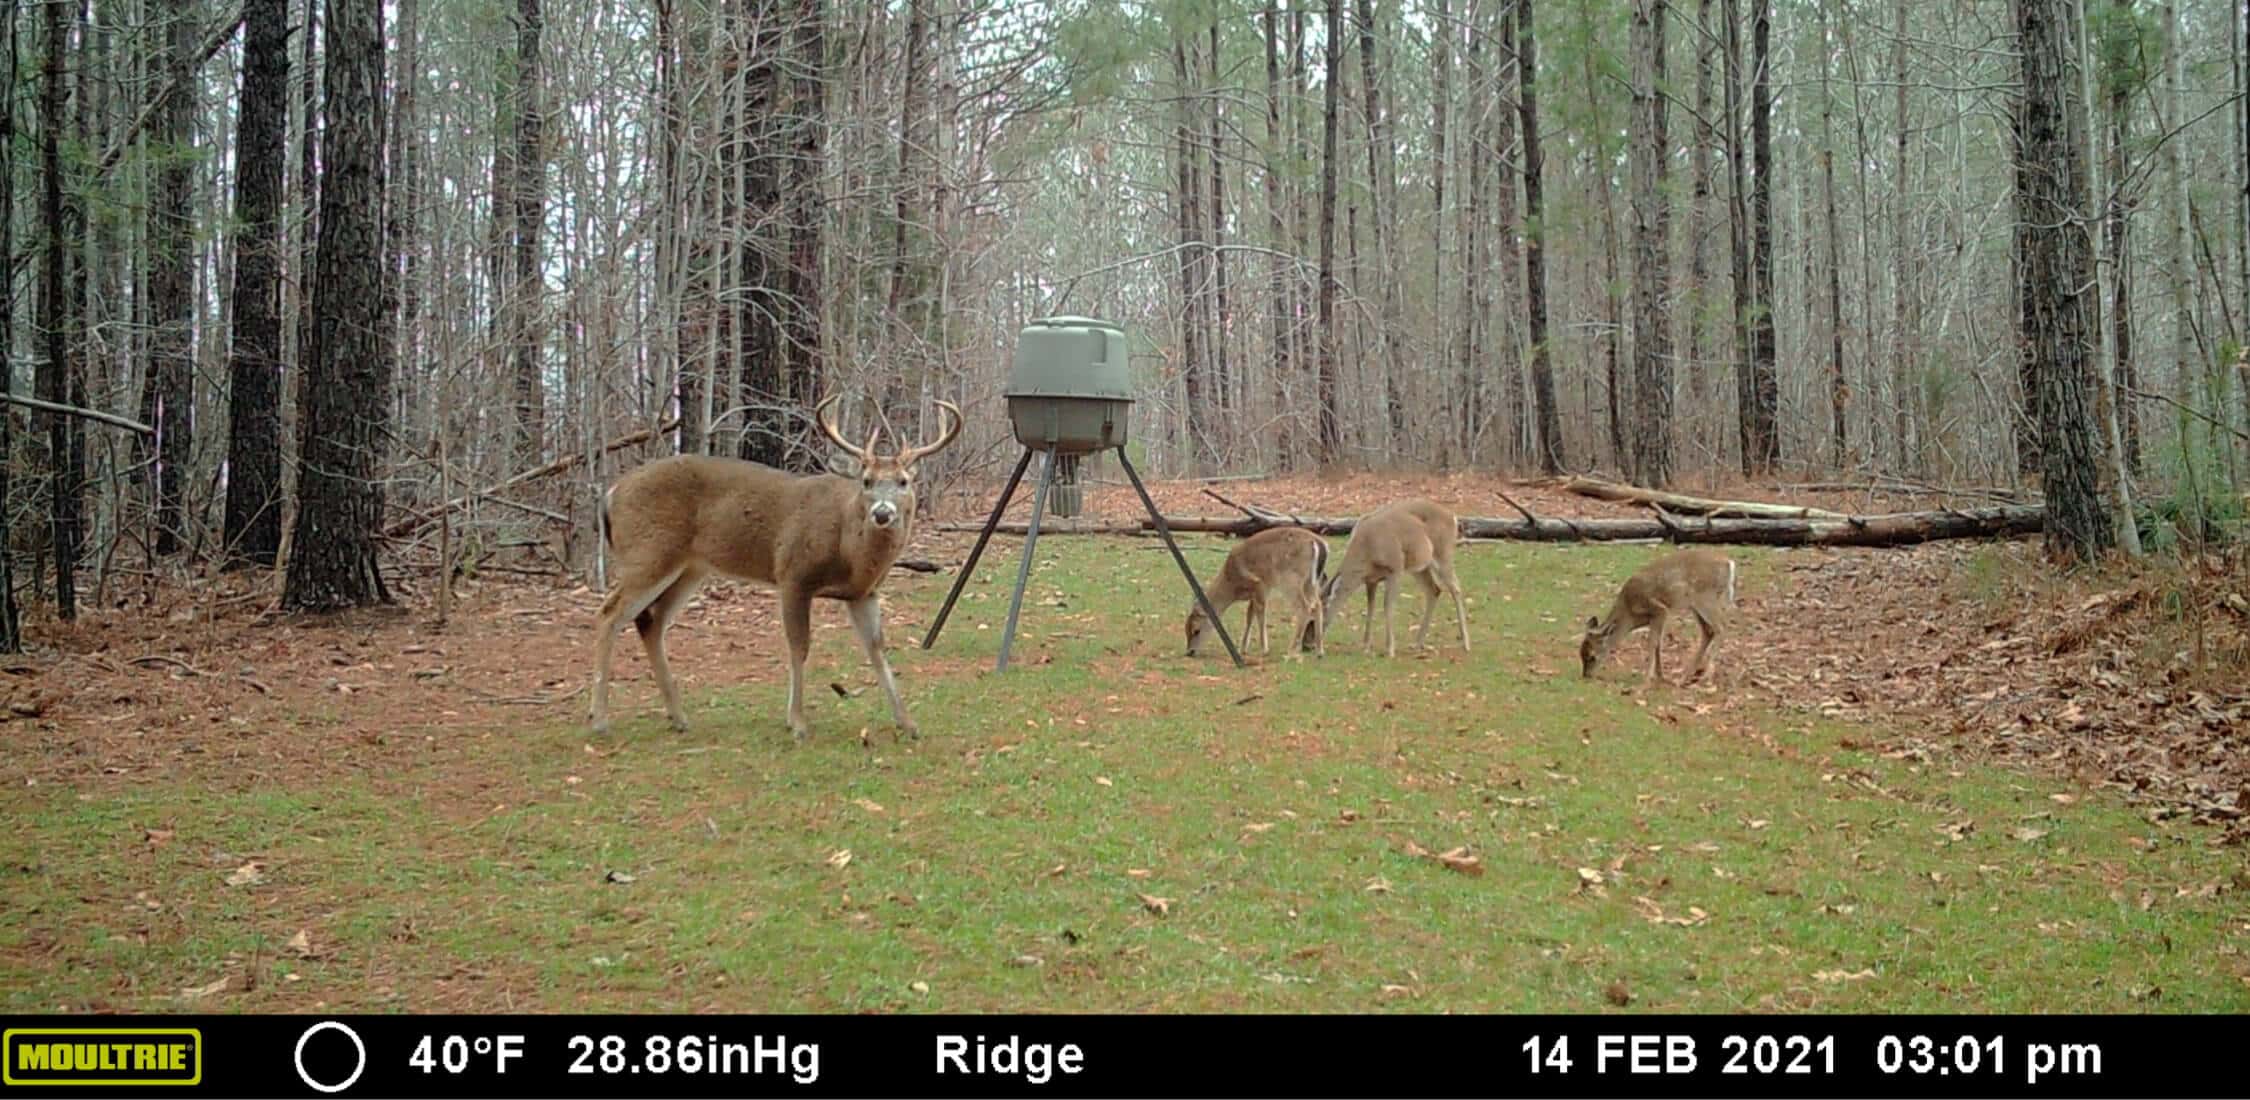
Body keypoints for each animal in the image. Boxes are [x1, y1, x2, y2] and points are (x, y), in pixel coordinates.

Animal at [585, 393, 963, 737]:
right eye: (867, 480)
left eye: (903, 481)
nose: (882, 513)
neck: (849, 549)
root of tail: (611, 493)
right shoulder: (793, 574)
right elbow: (800, 646)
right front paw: (797, 722)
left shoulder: (863, 593)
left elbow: (877, 649)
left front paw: (908, 723)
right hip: (648, 551)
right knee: (609, 613)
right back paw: (600, 720)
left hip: (689, 567)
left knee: (651, 621)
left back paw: (678, 717)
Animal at [1188, 526, 1323, 656]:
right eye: (1186, 628)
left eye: (1196, 630)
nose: (1189, 651)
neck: (1232, 585)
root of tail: (1317, 543)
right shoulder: (1257, 592)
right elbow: (1249, 615)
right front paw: (1243, 649)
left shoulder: (1259, 585)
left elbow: (1260, 615)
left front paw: (1264, 650)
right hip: (1311, 581)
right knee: (1317, 605)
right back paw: (1319, 651)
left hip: (1290, 580)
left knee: (1304, 608)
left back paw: (1290, 652)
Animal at [1314, 494, 1476, 652]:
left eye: (1316, 615)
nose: (1309, 645)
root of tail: (1453, 517)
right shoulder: (1371, 579)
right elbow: (1370, 608)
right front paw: (1366, 646)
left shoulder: (1395, 568)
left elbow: (1388, 605)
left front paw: (1390, 648)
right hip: (1419, 566)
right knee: (1434, 590)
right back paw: (1417, 643)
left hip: (1443, 553)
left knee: (1455, 587)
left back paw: (1466, 644)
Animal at [1584, 553, 1737, 683]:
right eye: (1581, 653)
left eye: (1592, 657)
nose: (1586, 675)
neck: (1629, 613)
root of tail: (1728, 563)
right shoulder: (1656, 617)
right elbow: (1658, 643)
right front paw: (1661, 676)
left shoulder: (1659, 609)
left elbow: (1652, 642)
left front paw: (1647, 679)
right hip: (1696, 606)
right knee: (1708, 631)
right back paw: (1684, 677)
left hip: (1706, 598)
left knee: (1721, 627)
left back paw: (1706, 675)